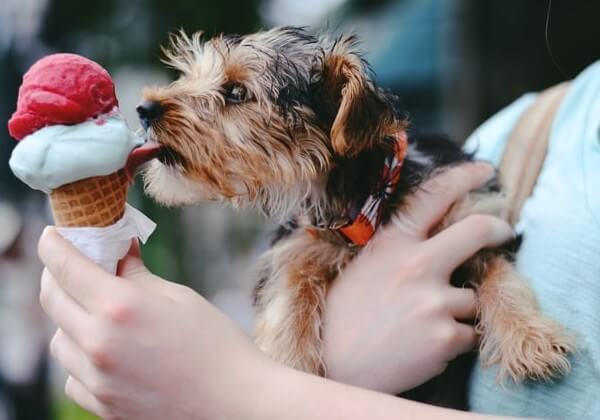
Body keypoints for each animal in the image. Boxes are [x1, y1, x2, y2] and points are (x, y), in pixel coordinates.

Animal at [138, 26, 576, 406]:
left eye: (235, 91)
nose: (144, 109)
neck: (365, 198)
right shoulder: (296, 246)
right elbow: (288, 296)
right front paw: (289, 363)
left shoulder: (474, 216)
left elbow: (500, 275)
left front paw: (530, 338)